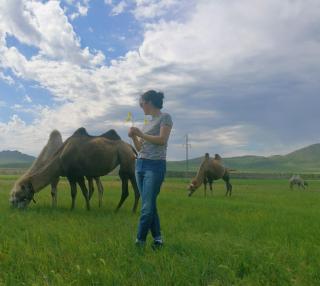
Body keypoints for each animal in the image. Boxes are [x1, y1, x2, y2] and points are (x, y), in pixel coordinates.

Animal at [9, 128, 140, 211]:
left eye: (19, 195)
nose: (12, 205)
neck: (59, 160)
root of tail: (130, 147)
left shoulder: (78, 174)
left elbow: (84, 191)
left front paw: (87, 209)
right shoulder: (71, 176)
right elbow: (74, 192)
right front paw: (73, 208)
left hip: (125, 160)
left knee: (125, 187)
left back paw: (117, 210)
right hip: (128, 163)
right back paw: (132, 210)